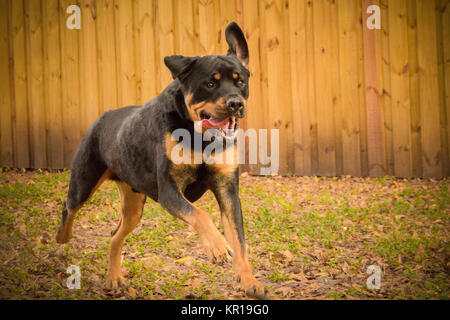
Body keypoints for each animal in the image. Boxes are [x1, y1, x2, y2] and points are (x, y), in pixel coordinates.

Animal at [55, 21, 268, 298]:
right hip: (84, 181)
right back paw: (62, 239)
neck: (199, 137)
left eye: (240, 81)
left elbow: (240, 241)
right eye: (210, 84)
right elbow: (200, 215)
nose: (236, 103)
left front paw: (249, 281)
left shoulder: (227, 191)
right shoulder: (169, 190)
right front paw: (217, 247)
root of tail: (102, 118)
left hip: (134, 206)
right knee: (69, 206)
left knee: (114, 234)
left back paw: (113, 277)